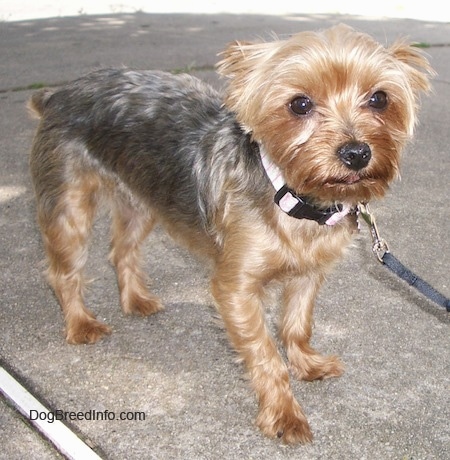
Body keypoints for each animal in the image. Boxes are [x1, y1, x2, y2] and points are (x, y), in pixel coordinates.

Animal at [29, 24, 432, 442]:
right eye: (300, 104)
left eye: (379, 98)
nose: (356, 153)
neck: (293, 197)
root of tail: (59, 93)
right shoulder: (236, 288)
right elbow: (266, 354)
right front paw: (284, 414)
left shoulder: (308, 274)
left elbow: (296, 325)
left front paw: (306, 364)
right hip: (69, 205)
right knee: (64, 271)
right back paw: (80, 324)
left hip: (141, 199)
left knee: (121, 249)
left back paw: (135, 300)